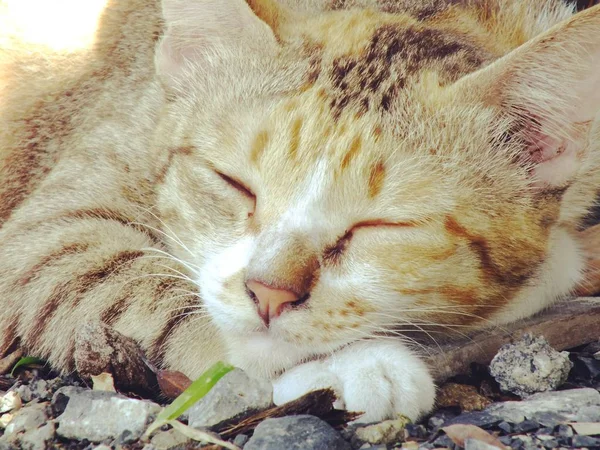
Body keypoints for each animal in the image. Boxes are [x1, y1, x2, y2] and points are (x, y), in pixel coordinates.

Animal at [1, 0, 600, 422]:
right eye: (235, 184)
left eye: (381, 225)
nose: (269, 292)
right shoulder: (49, 233)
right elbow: (142, 288)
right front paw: (348, 365)